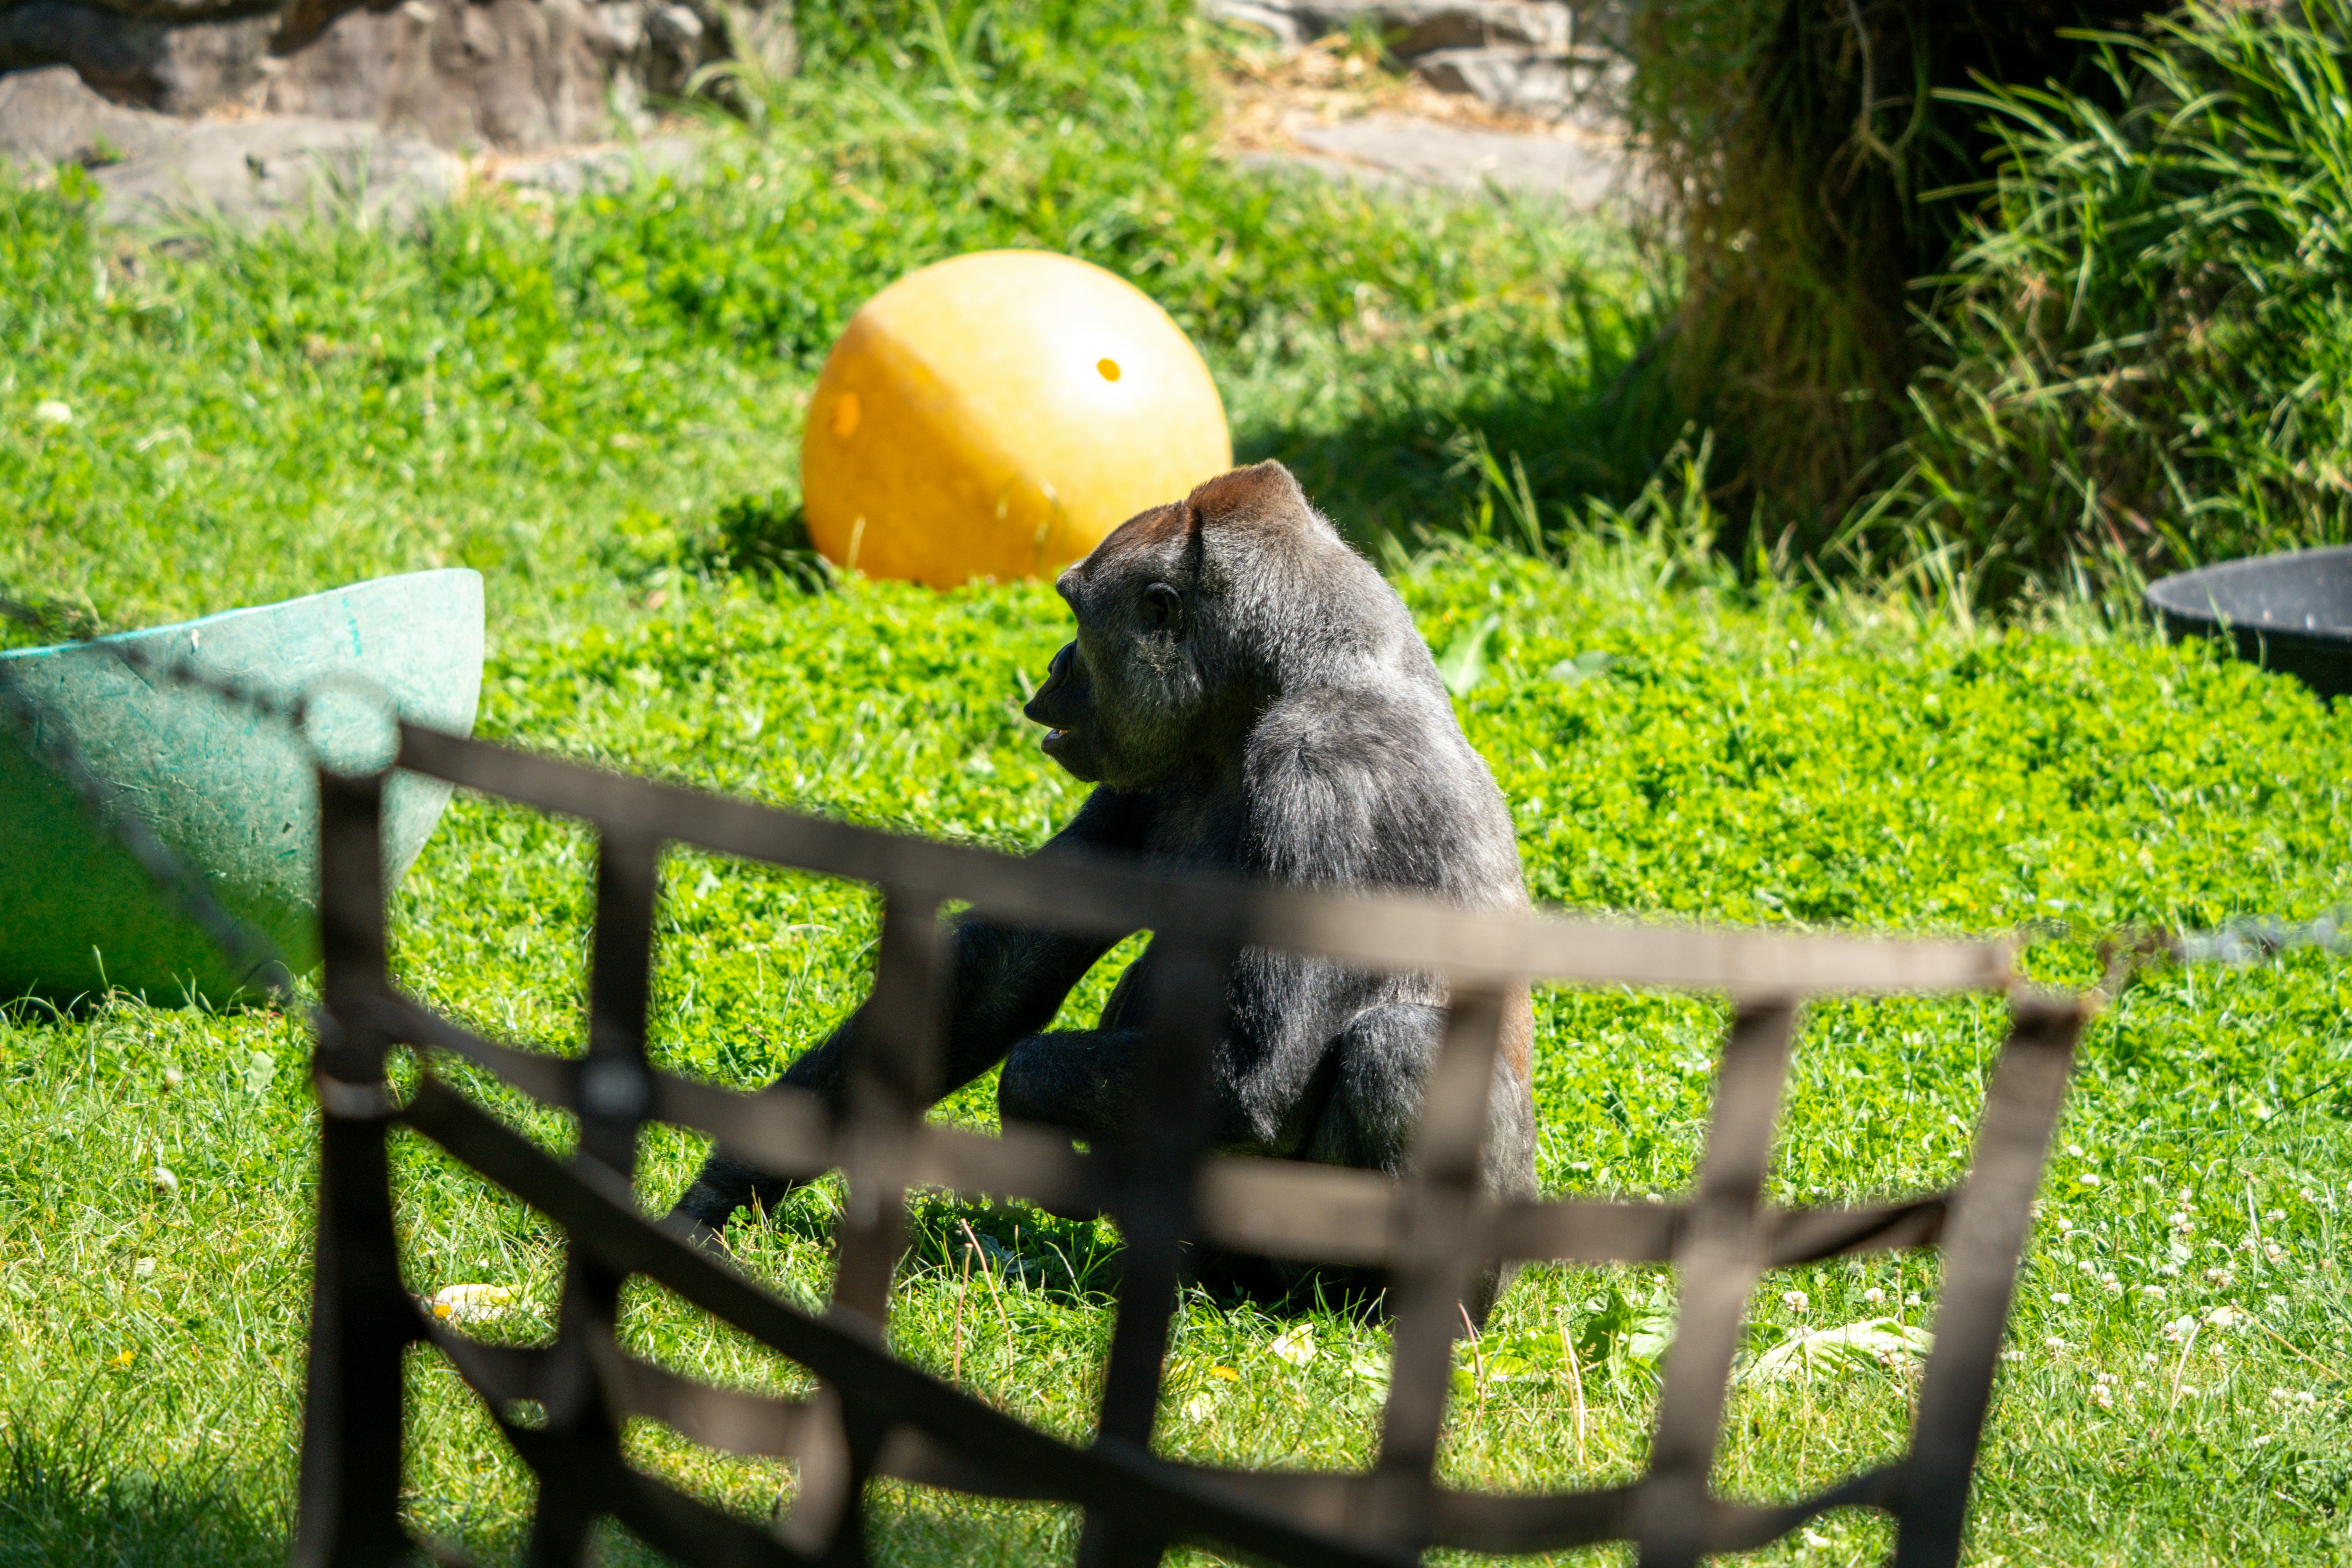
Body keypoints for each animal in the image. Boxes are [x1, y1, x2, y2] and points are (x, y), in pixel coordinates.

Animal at [671, 461, 1538, 1322]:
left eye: (1076, 619)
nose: (1055, 666)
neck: (1294, 672)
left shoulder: (1321, 769)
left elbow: (1255, 1075)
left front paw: (1026, 1097)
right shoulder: (1153, 767)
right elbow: (1000, 974)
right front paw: (731, 1184)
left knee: (1400, 1046)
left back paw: (1395, 1306)